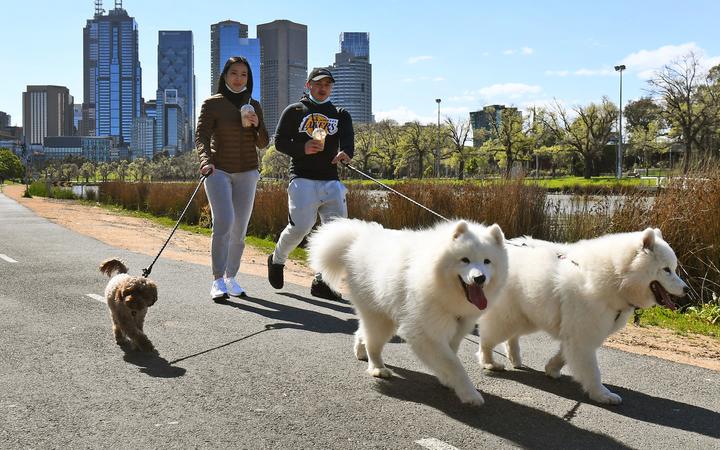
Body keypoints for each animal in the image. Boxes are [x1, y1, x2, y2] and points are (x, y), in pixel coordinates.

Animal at [306, 216, 510, 406]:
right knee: (373, 344)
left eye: (487, 262)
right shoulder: (426, 333)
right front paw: (469, 394)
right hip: (381, 320)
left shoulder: (456, 330)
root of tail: (358, 238)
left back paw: (360, 351)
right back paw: (377, 368)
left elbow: (450, 357)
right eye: (465, 260)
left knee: (362, 332)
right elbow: (454, 363)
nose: (479, 278)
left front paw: (447, 380)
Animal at [478, 229, 688, 404]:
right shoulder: (584, 334)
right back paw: (489, 362)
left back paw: (514, 357)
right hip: (509, 316)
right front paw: (602, 395)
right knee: (487, 339)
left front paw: (551, 369)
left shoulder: (577, 333)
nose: (686, 289)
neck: (617, 278)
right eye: (667, 270)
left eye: (674, 268)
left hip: (526, 316)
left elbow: (564, 355)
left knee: (511, 337)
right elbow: (592, 371)